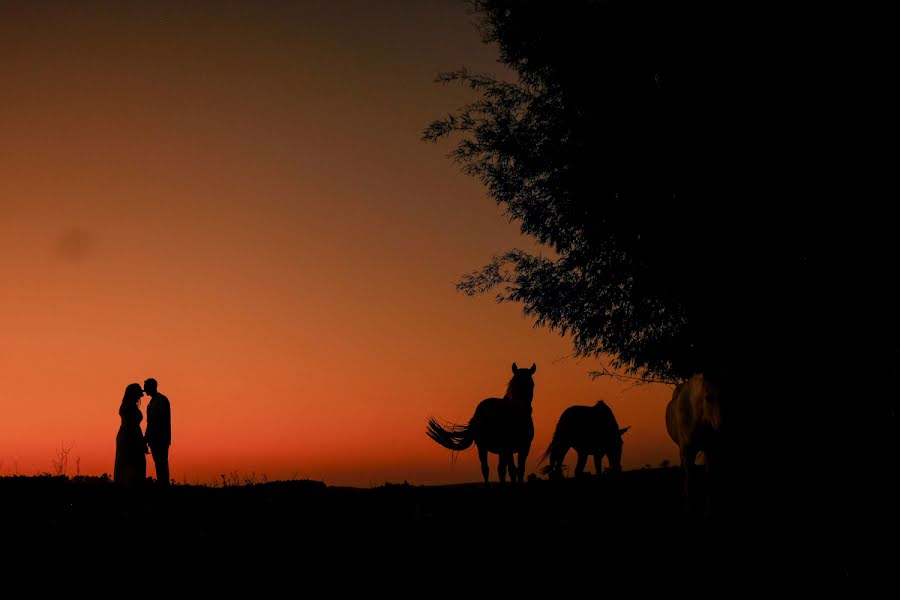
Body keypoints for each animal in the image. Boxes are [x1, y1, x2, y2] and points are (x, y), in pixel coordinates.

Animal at [668, 372, 724, 512]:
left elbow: (709, 483)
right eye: (708, 397)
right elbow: (690, 484)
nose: (721, 427)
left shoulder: (710, 450)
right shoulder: (688, 452)